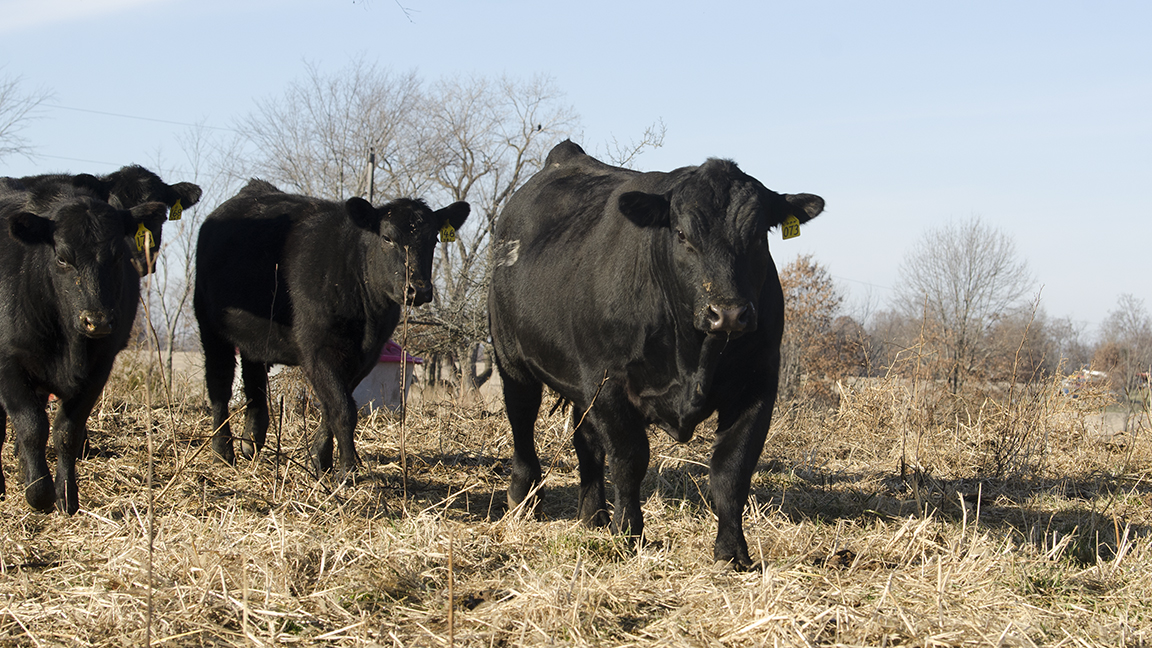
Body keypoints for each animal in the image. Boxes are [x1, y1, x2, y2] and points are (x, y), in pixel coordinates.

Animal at [0, 185, 169, 513]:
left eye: (118, 256)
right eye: (63, 258)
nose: (97, 321)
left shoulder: (99, 367)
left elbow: (67, 431)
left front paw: (66, 496)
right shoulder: (8, 363)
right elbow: (31, 426)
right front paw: (39, 494)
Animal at [193, 180, 469, 477]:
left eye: (434, 240)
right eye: (387, 238)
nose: (418, 289)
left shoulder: (366, 355)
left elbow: (333, 405)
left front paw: (319, 460)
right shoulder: (317, 348)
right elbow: (343, 408)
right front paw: (347, 469)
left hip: (254, 336)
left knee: (254, 380)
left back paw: (251, 443)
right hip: (210, 327)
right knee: (219, 384)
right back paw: (223, 452)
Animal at [488, 140, 824, 567]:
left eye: (759, 234)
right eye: (681, 234)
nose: (729, 312)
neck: (693, 354)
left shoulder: (758, 385)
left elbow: (731, 471)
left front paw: (732, 552)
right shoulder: (609, 382)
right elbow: (630, 461)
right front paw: (629, 535)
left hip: (579, 385)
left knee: (587, 445)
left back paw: (592, 516)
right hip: (512, 360)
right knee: (522, 423)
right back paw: (524, 500)